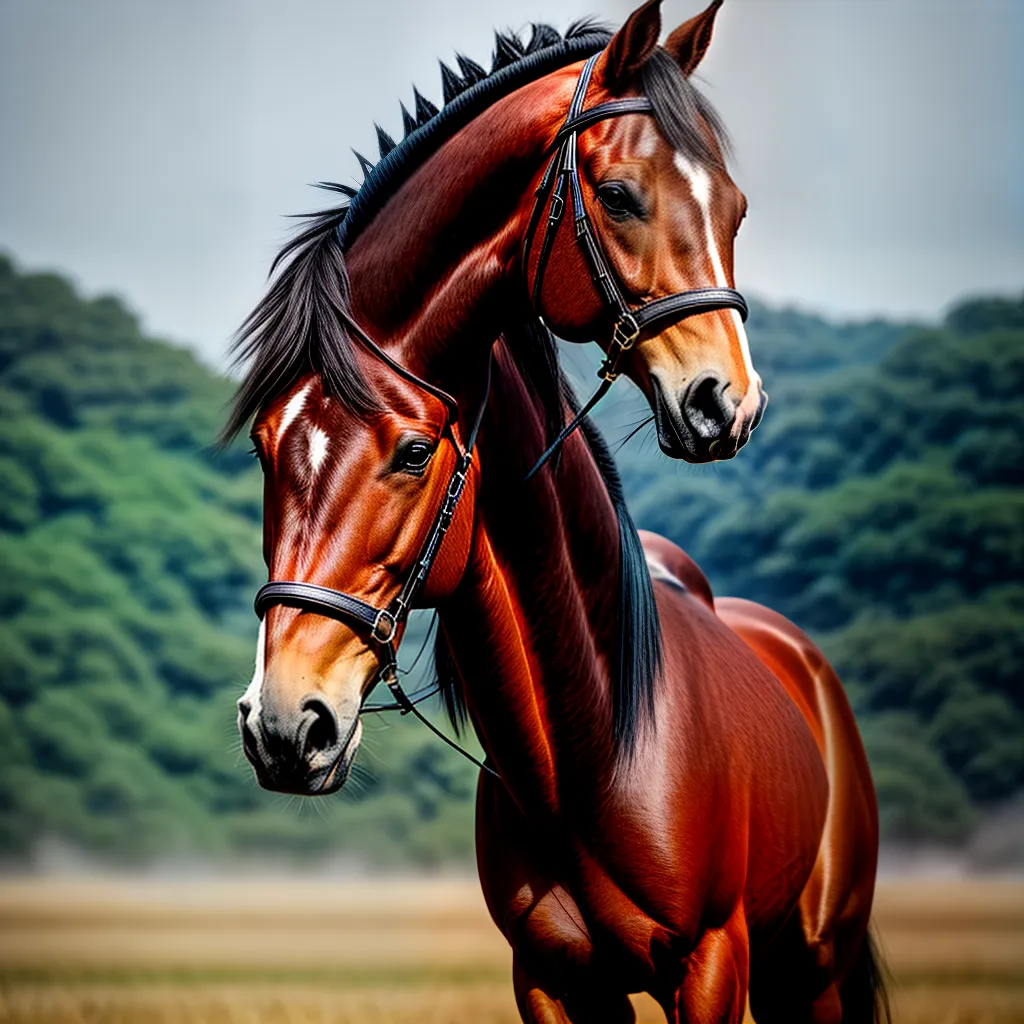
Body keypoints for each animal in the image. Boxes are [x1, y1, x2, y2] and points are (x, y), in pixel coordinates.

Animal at [230, 325, 883, 1021]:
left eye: (415, 452)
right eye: (263, 450)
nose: (282, 727)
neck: (593, 759)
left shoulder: (711, 967)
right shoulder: (554, 979)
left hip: (809, 973)